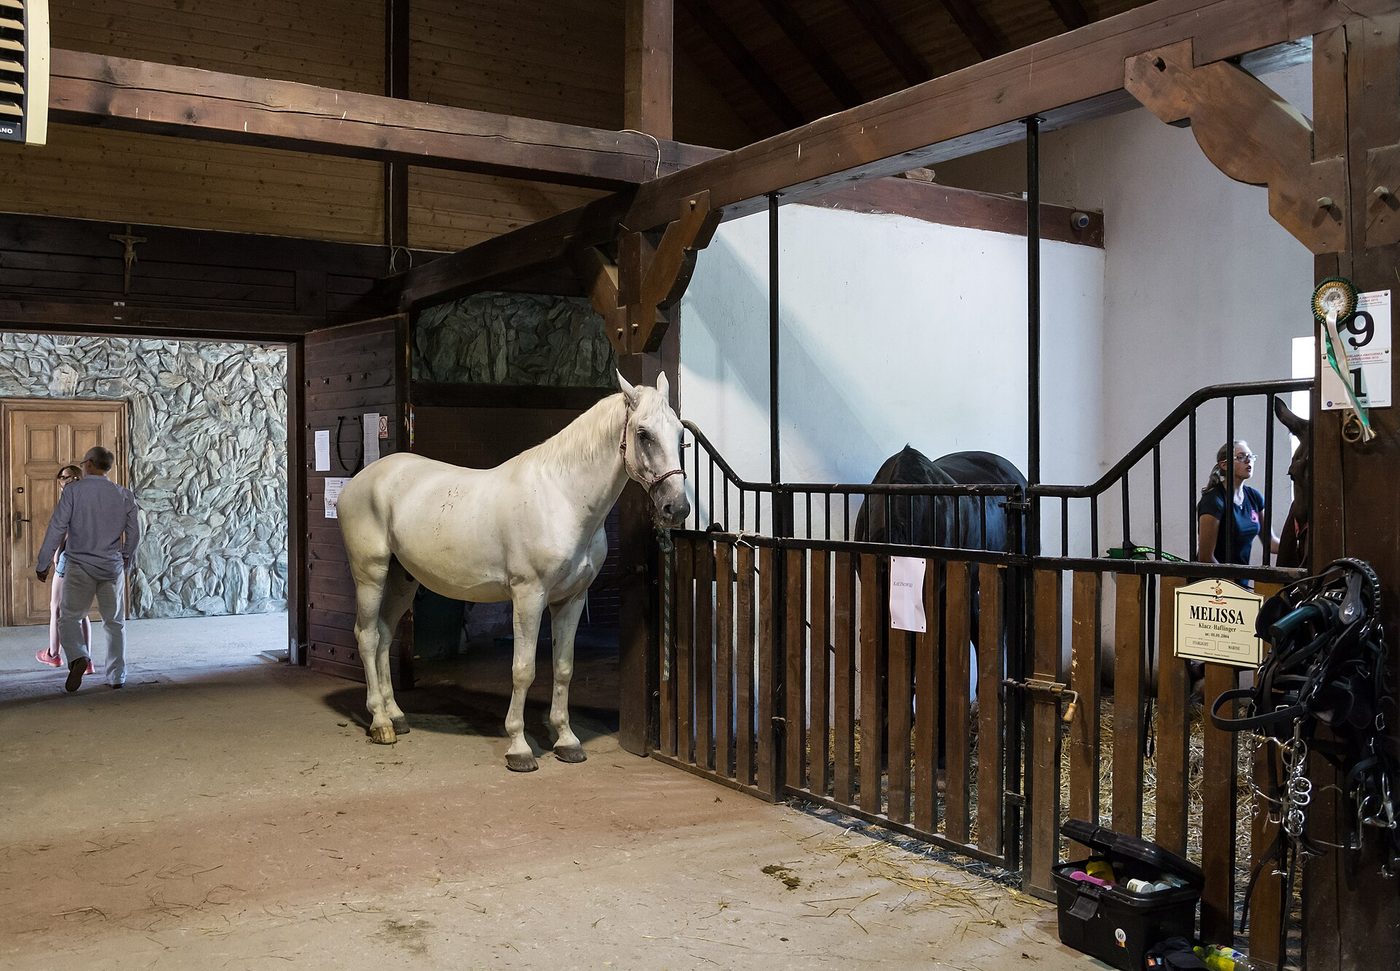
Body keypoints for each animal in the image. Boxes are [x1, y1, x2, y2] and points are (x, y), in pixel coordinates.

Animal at [336, 371, 690, 772]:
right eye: (643, 433)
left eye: (680, 433)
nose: (676, 508)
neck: (562, 499)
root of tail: (358, 483)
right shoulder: (528, 596)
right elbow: (523, 670)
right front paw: (519, 748)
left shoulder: (571, 599)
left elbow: (564, 668)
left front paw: (566, 741)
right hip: (371, 574)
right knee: (367, 636)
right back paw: (380, 723)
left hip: (402, 580)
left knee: (383, 635)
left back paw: (396, 715)